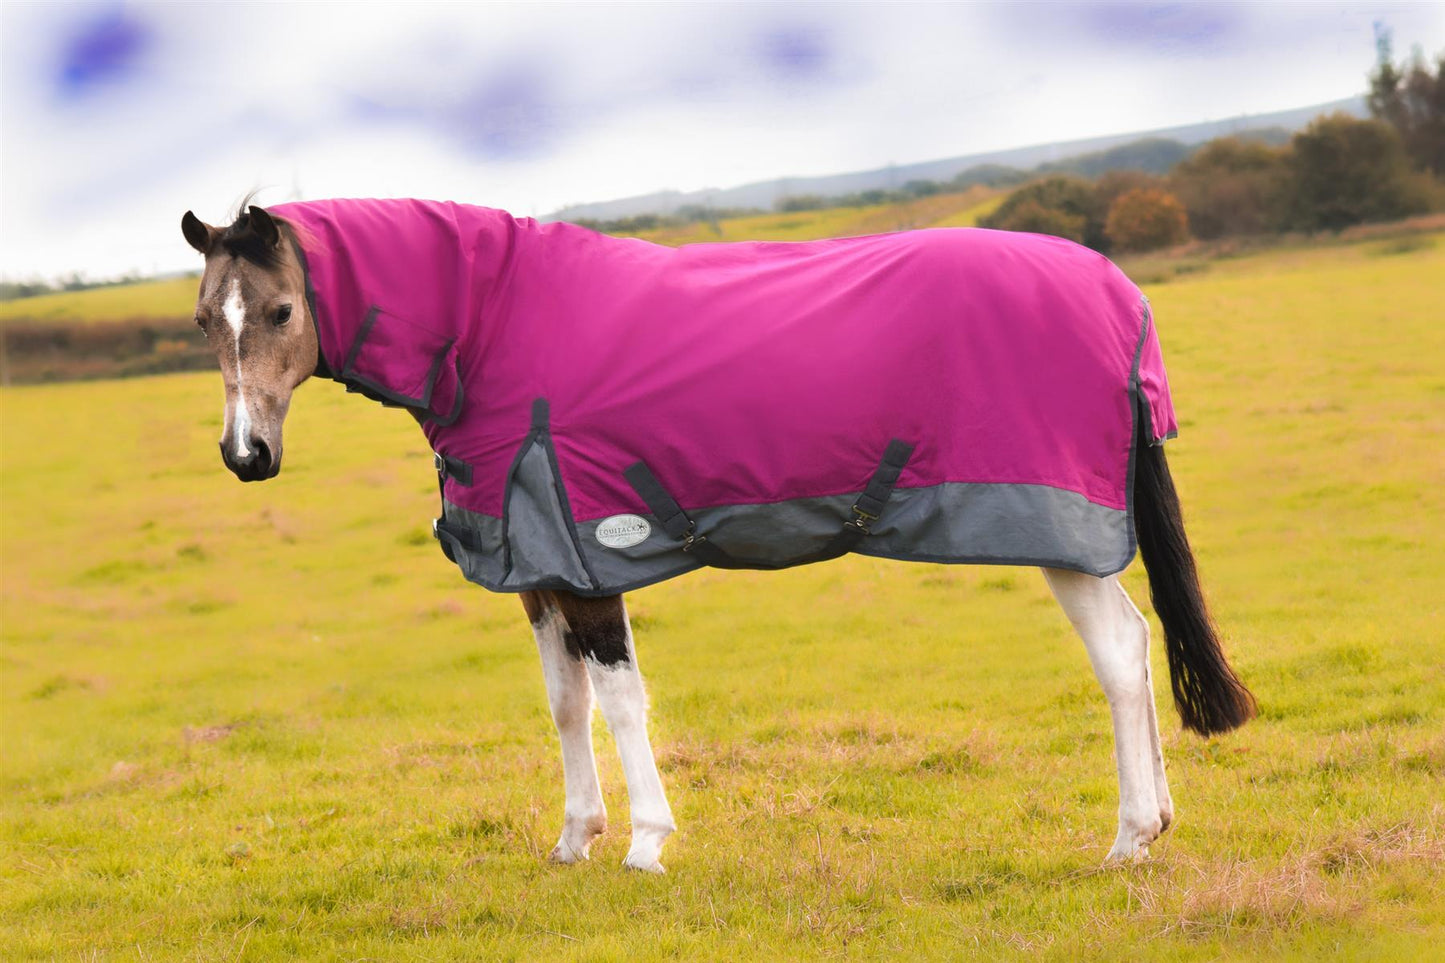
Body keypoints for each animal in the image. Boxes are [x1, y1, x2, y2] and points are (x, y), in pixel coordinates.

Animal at [180, 198, 1256, 872]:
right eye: (201, 320)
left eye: (279, 308)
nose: (244, 455)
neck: (491, 327)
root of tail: (1118, 296)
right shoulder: (537, 572)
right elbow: (564, 706)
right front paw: (572, 838)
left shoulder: (588, 556)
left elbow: (620, 702)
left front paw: (644, 842)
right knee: (1137, 642)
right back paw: (1153, 823)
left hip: (1054, 526)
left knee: (1117, 653)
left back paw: (1127, 836)